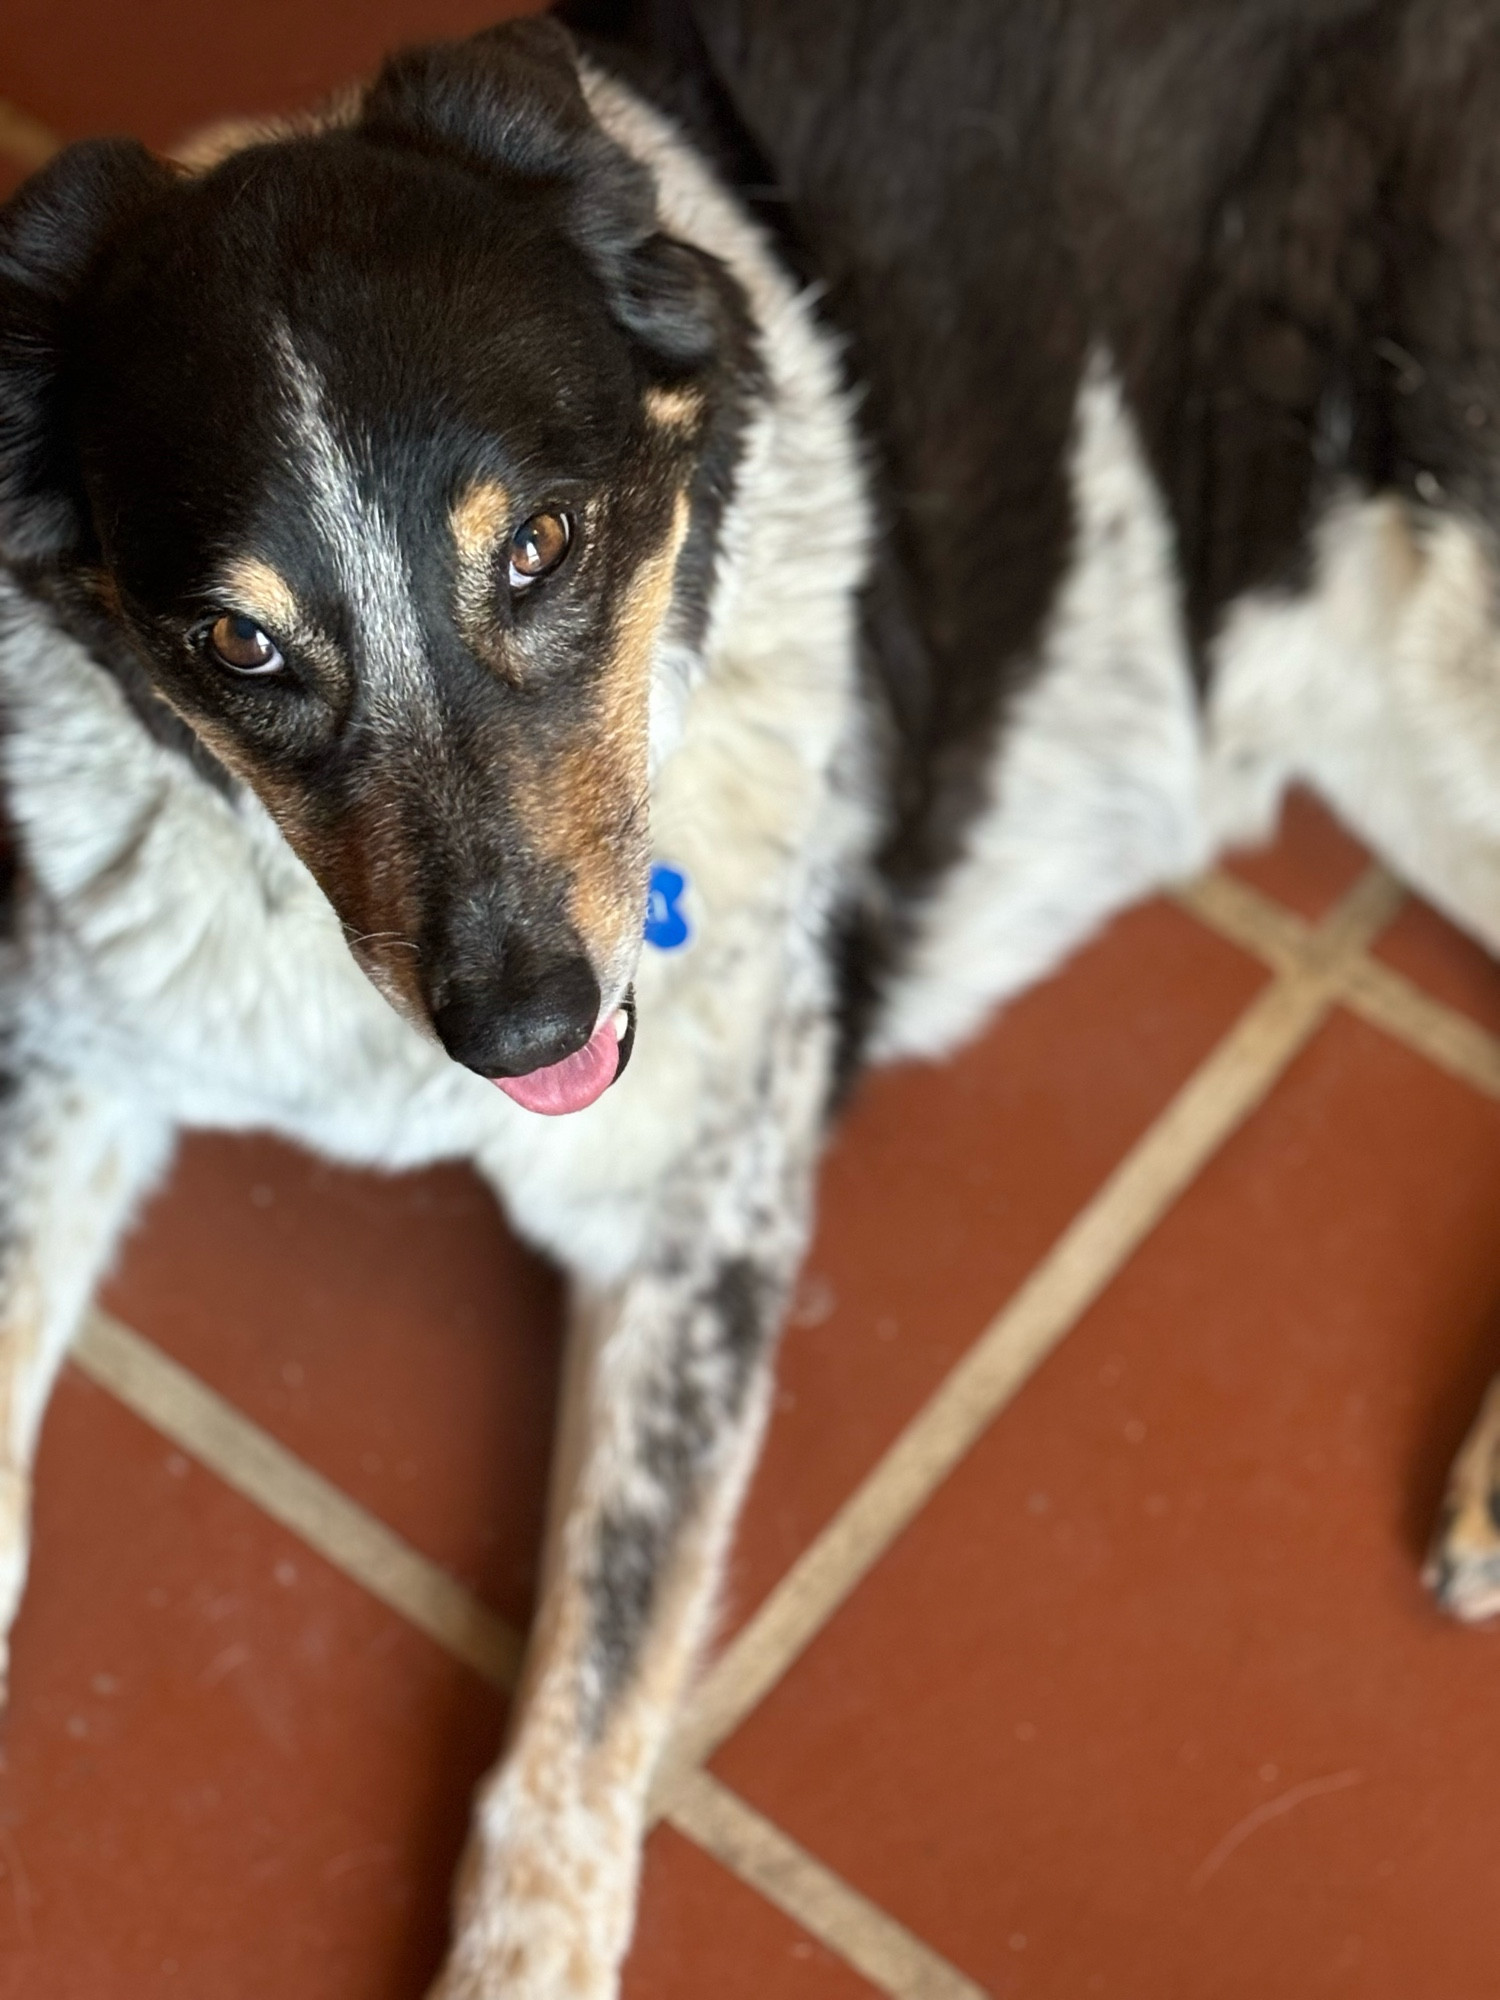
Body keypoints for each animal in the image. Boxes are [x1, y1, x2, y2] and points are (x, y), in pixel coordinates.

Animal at [2, 0, 1500, 1992]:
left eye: (544, 545)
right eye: (235, 644)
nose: (526, 1033)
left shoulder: (695, 1224)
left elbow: (584, 1709)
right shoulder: (69, 1039)